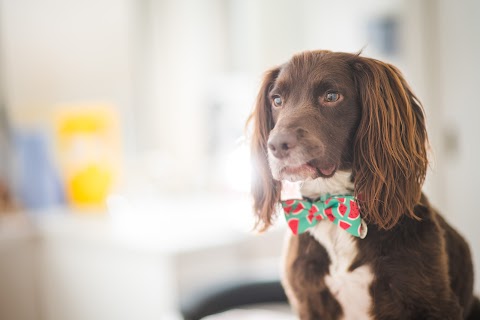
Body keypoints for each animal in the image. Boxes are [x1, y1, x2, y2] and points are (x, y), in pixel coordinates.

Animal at [249, 48, 478, 318]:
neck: (333, 206)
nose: (276, 145)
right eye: (276, 100)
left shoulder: (430, 302)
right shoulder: (309, 301)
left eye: (332, 96)